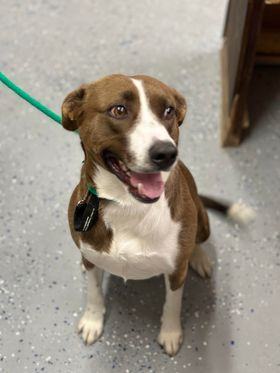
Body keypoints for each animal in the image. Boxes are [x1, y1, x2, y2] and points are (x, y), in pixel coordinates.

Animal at [61, 73, 254, 354]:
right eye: (119, 110)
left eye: (168, 111)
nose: (166, 153)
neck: (126, 204)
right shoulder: (92, 258)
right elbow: (94, 292)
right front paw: (93, 320)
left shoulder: (175, 272)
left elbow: (173, 304)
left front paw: (170, 333)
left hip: (202, 218)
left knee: (198, 241)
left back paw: (199, 258)